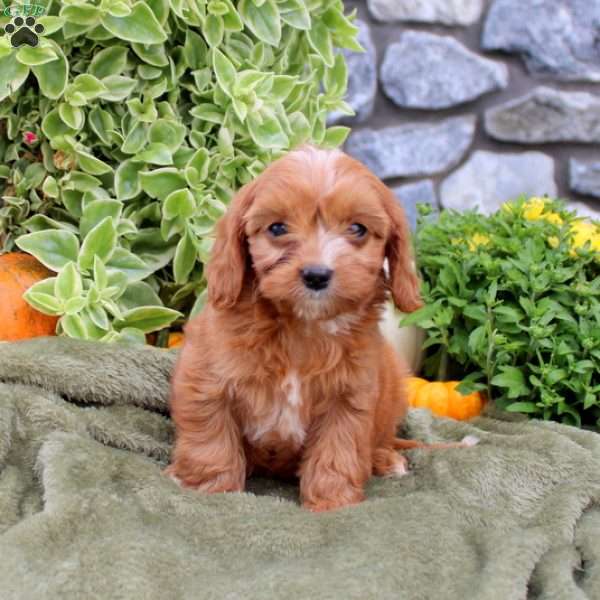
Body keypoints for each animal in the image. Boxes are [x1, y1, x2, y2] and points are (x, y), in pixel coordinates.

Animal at [166, 144, 476, 510]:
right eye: (277, 228)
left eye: (357, 229)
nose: (316, 275)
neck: (302, 327)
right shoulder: (205, 380)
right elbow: (211, 438)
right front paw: (209, 489)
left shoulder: (349, 398)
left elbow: (337, 450)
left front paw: (332, 501)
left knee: (381, 439)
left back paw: (386, 459)